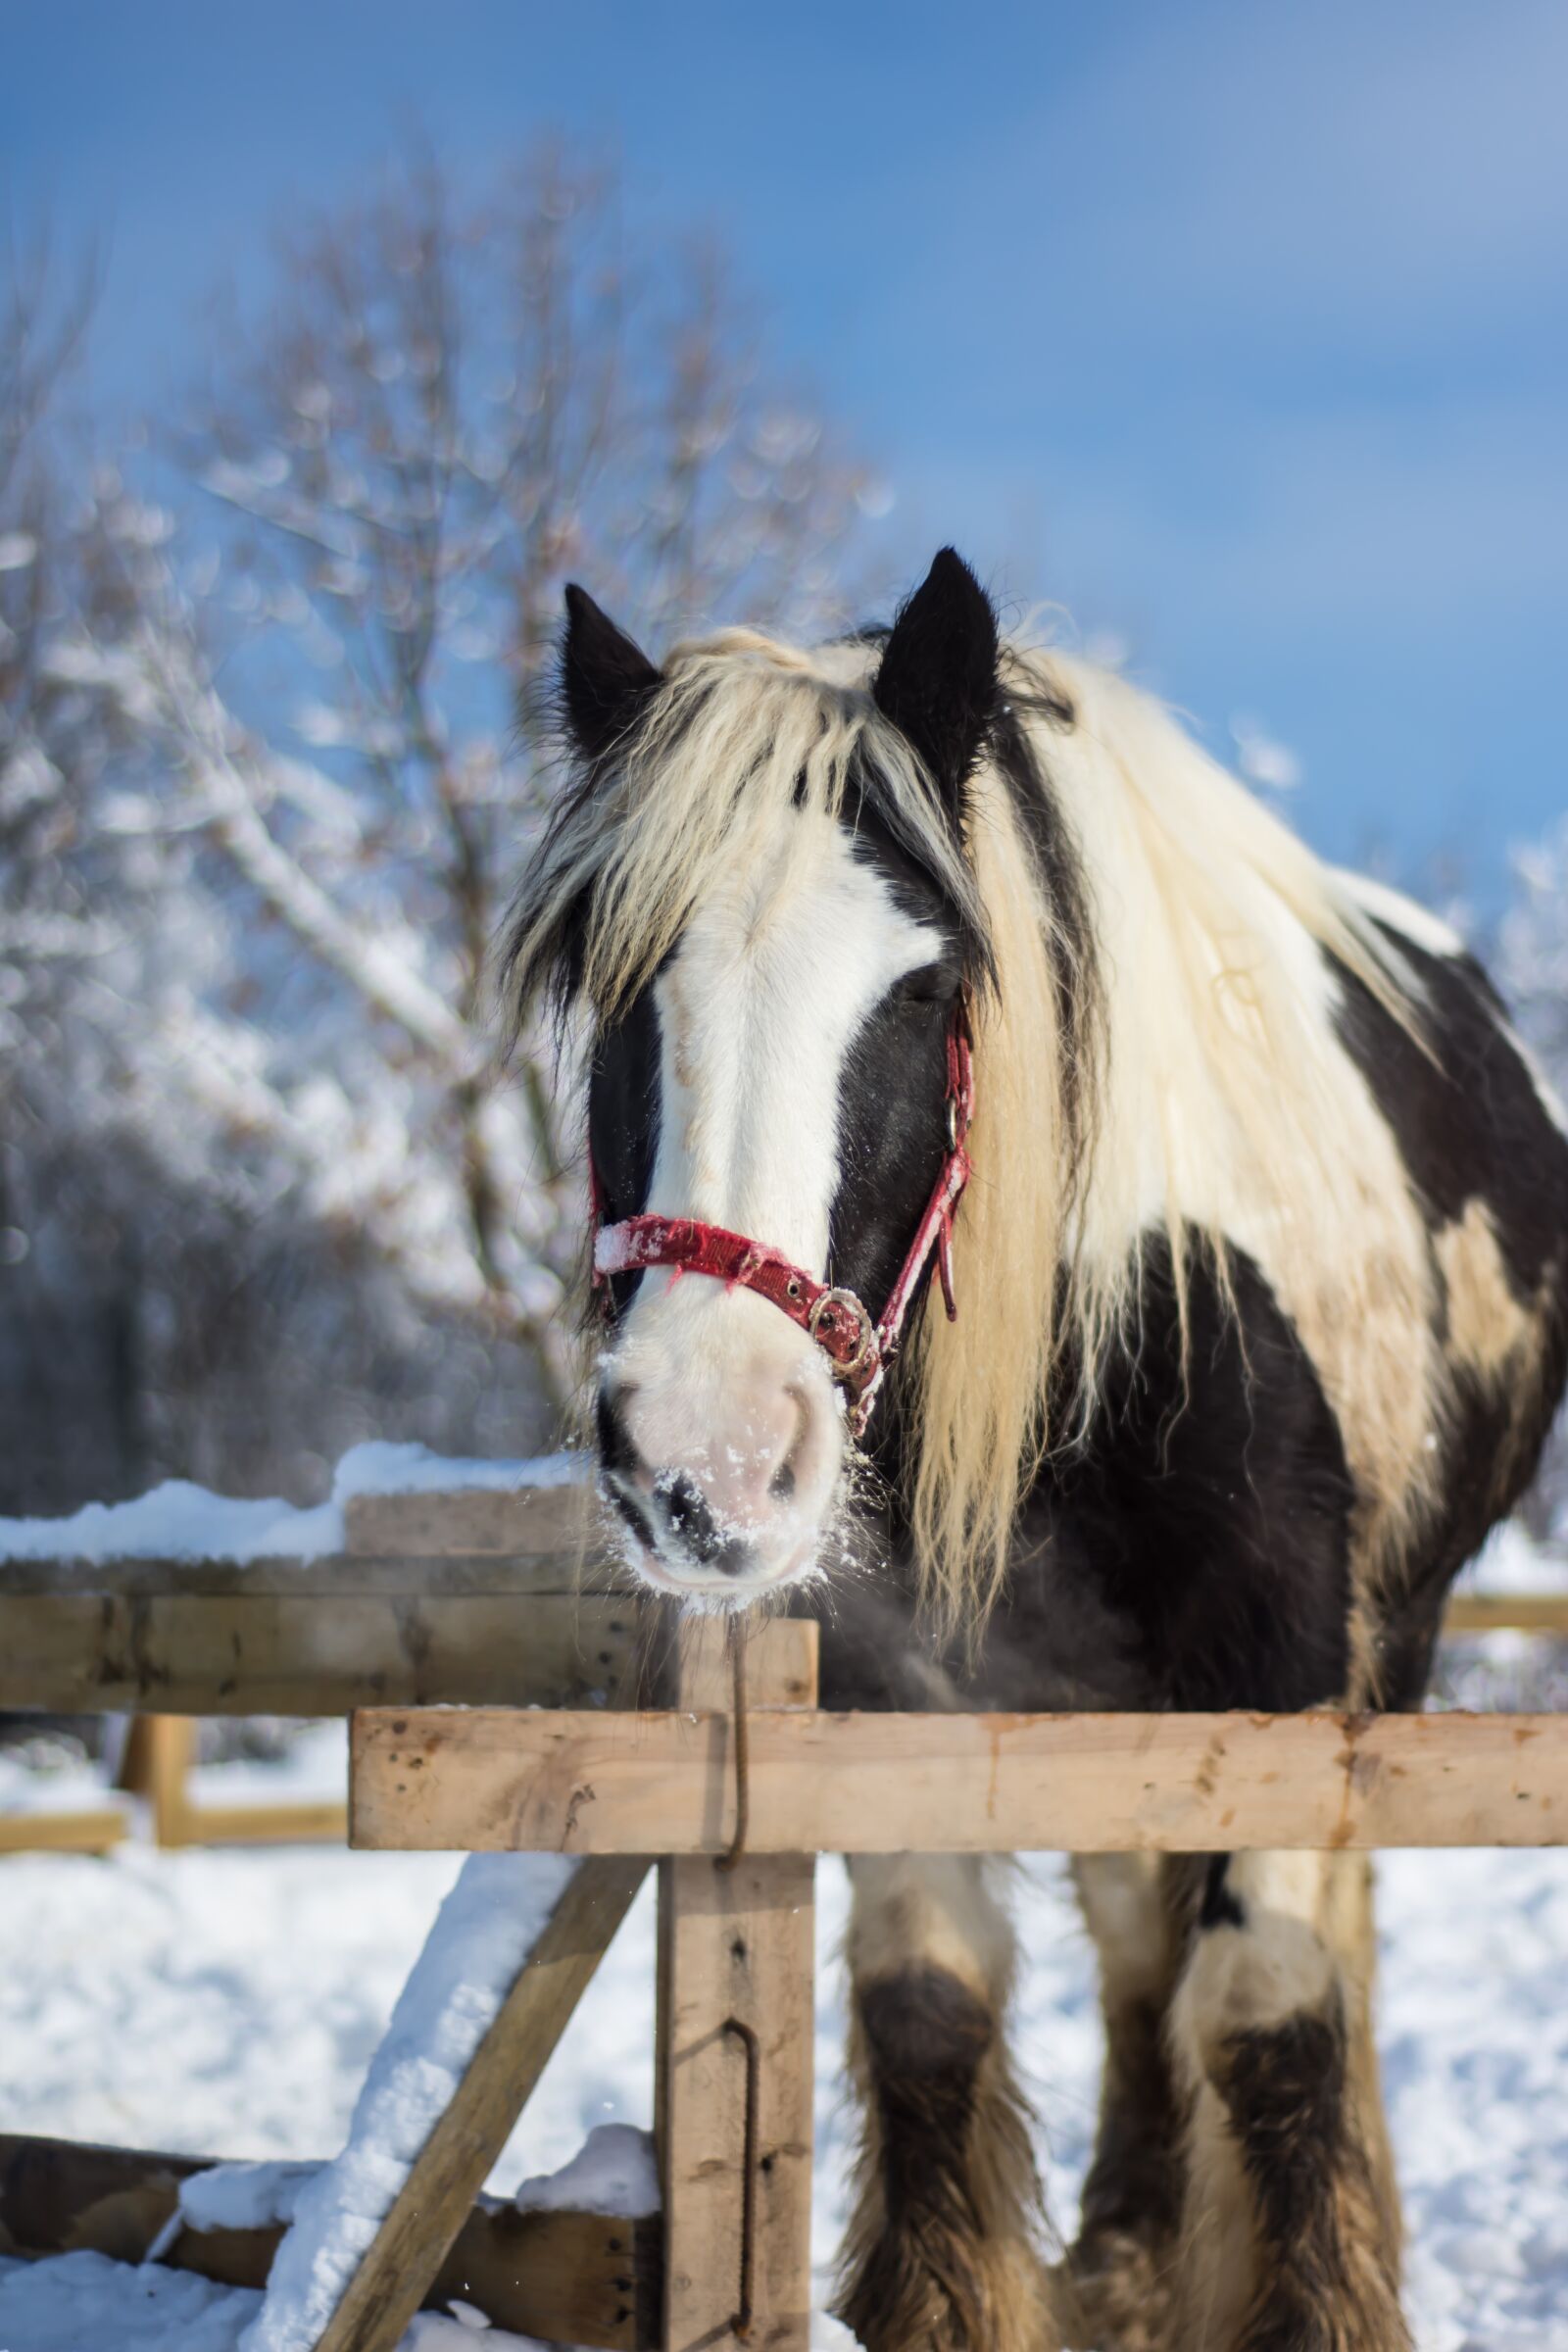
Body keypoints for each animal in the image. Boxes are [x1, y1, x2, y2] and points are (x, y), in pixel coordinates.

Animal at [503, 549, 1568, 2352]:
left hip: (1384, 1635)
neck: (1116, 1312)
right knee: (1134, 1930)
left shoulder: (1284, 1658)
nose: (709, 1451)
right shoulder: (902, 1676)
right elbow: (933, 2006)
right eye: (617, 975)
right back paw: (1134, 2248)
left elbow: (1271, 2007)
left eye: (929, 985)